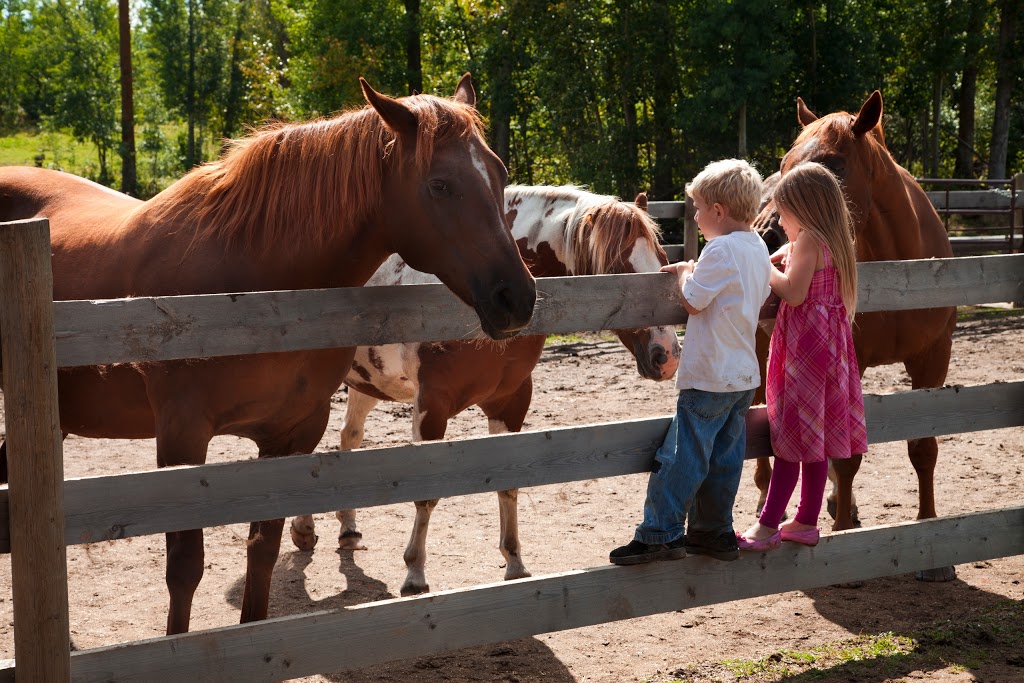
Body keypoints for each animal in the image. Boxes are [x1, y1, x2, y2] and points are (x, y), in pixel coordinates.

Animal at [0, 72, 540, 634]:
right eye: (440, 184)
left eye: (499, 174)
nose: (518, 298)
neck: (253, 297)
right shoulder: (181, 437)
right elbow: (184, 567)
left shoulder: (292, 434)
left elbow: (263, 552)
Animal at [288, 184, 679, 593]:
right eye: (620, 269)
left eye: (663, 260)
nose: (667, 355)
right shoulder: (432, 406)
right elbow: (425, 493)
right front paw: (415, 574)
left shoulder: (510, 402)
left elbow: (508, 483)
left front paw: (515, 563)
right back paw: (305, 530)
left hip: (368, 383)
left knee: (348, 439)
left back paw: (346, 529)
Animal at [753, 89, 958, 581]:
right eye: (785, 162)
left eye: (834, 163)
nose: (767, 236)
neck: (901, 269)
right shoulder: (853, 358)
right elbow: (846, 459)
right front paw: (844, 535)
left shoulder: (933, 358)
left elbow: (923, 446)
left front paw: (932, 543)